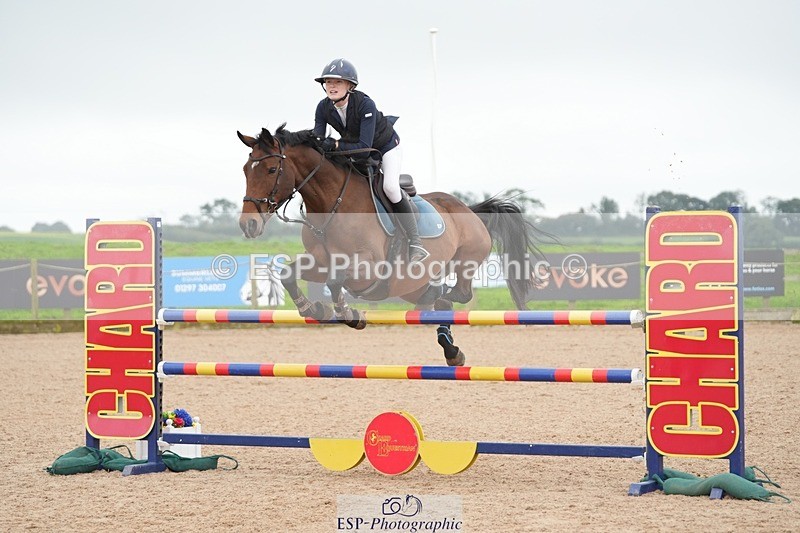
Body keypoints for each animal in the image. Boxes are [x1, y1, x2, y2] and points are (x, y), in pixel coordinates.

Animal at [237, 124, 547, 366]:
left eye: (272, 169)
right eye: (245, 170)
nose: (248, 224)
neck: (332, 206)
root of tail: (468, 209)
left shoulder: (368, 267)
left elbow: (337, 280)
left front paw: (349, 314)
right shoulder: (319, 261)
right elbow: (289, 274)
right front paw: (314, 309)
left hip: (467, 257)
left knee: (459, 293)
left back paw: (441, 303)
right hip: (411, 286)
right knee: (443, 301)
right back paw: (451, 349)